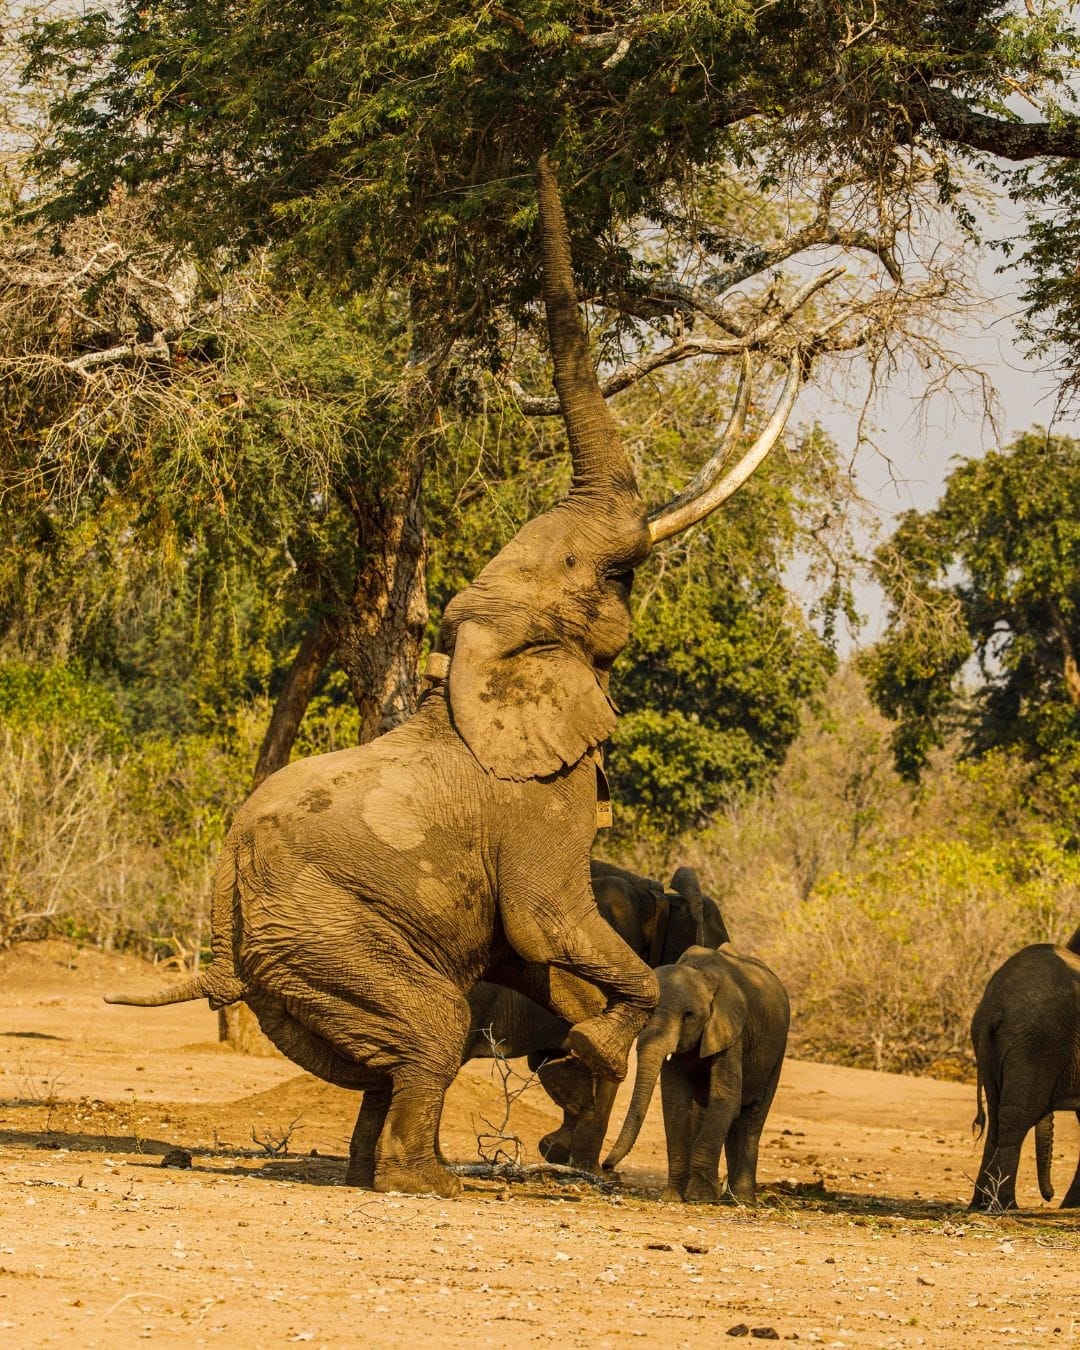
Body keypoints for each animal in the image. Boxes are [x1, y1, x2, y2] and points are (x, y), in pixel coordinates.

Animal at [604, 945, 790, 1205]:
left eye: (688, 1015)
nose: (607, 1167)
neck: (700, 972)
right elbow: (675, 1102)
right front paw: (672, 1198)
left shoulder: (733, 1033)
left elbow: (726, 1099)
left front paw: (700, 1198)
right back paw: (731, 1199)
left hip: (776, 1055)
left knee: (751, 1116)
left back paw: (741, 1201)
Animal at [969, 941, 1080, 1212]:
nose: (1049, 1196)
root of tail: (994, 1006)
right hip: (1037, 1045)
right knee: (1016, 1118)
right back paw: (1004, 1205)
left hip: (991, 1044)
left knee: (997, 1119)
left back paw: (980, 1205)